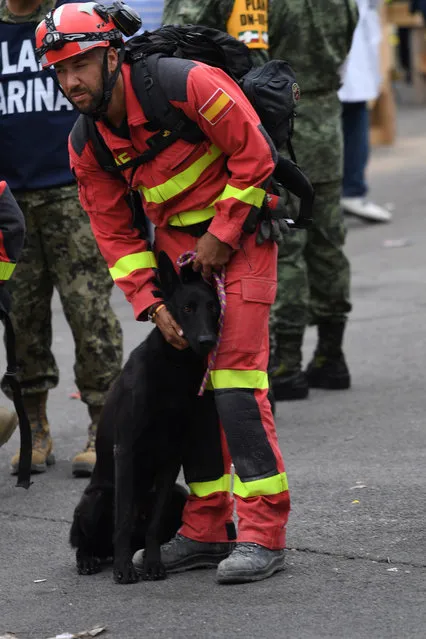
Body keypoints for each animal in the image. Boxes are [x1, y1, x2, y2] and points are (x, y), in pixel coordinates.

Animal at [69, 251, 220, 584]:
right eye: (187, 308)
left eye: (214, 308)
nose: (207, 340)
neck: (175, 367)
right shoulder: (126, 451)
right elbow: (123, 520)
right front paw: (124, 568)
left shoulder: (172, 457)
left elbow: (154, 524)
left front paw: (152, 563)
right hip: (95, 498)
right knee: (84, 540)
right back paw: (90, 560)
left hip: (177, 493)